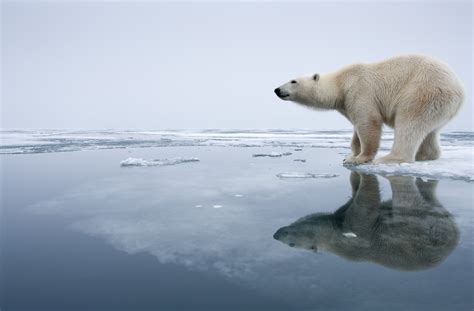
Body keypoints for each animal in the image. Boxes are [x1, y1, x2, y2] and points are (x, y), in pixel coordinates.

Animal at [274, 54, 462, 165]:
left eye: (293, 81)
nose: (277, 90)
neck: (341, 83)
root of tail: (460, 90)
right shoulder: (347, 103)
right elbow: (356, 128)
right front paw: (350, 156)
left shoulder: (359, 90)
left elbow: (368, 122)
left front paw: (360, 159)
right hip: (439, 105)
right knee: (430, 130)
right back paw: (424, 156)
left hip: (423, 91)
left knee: (409, 122)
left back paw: (389, 158)